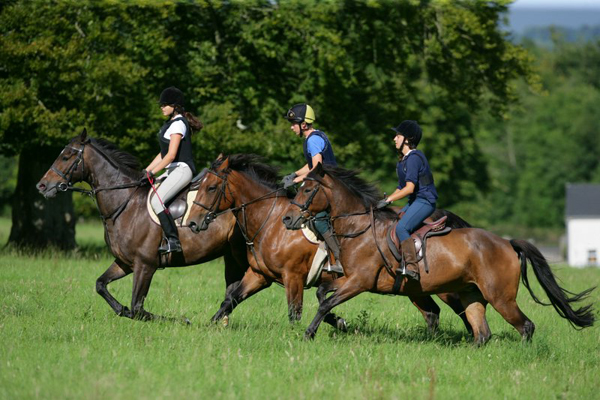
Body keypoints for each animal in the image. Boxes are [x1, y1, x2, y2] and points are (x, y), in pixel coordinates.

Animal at [36, 130, 250, 324]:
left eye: (66, 156)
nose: (42, 186)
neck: (125, 203)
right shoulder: (125, 262)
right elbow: (101, 285)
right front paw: (120, 309)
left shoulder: (146, 265)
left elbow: (137, 308)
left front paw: (183, 320)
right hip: (231, 256)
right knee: (232, 291)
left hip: (241, 255)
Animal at [188, 153, 478, 332]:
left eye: (211, 188)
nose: (191, 223)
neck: (269, 222)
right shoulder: (260, 275)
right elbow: (230, 300)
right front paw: (209, 325)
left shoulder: (293, 277)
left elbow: (294, 312)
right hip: (414, 289)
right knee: (432, 313)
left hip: (443, 285)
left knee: (462, 308)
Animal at [282, 163, 596, 344]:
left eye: (307, 189)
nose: (287, 219)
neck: (358, 228)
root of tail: (507, 243)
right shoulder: (347, 279)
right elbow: (323, 294)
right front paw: (334, 324)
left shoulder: (359, 281)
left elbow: (326, 303)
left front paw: (309, 334)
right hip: (471, 294)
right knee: (481, 332)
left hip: (500, 297)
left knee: (525, 326)